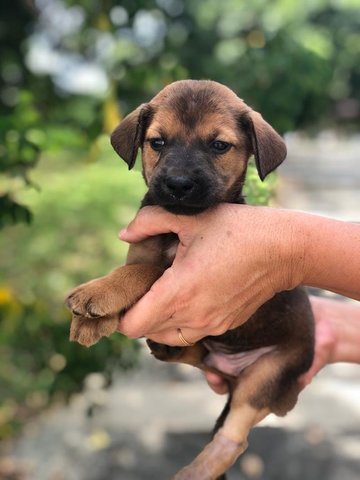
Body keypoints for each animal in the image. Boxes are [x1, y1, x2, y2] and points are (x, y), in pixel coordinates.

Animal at [66, 80, 314, 478]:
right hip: (216, 355)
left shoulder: (181, 273)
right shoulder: (143, 250)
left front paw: (98, 295)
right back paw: (172, 348)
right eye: (157, 142)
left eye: (219, 145)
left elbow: (144, 273)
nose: (178, 184)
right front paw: (93, 319)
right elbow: (138, 266)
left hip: (267, 376)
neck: (178, 225)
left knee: (233, 440)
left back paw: (194, 471)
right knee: (200, 357)